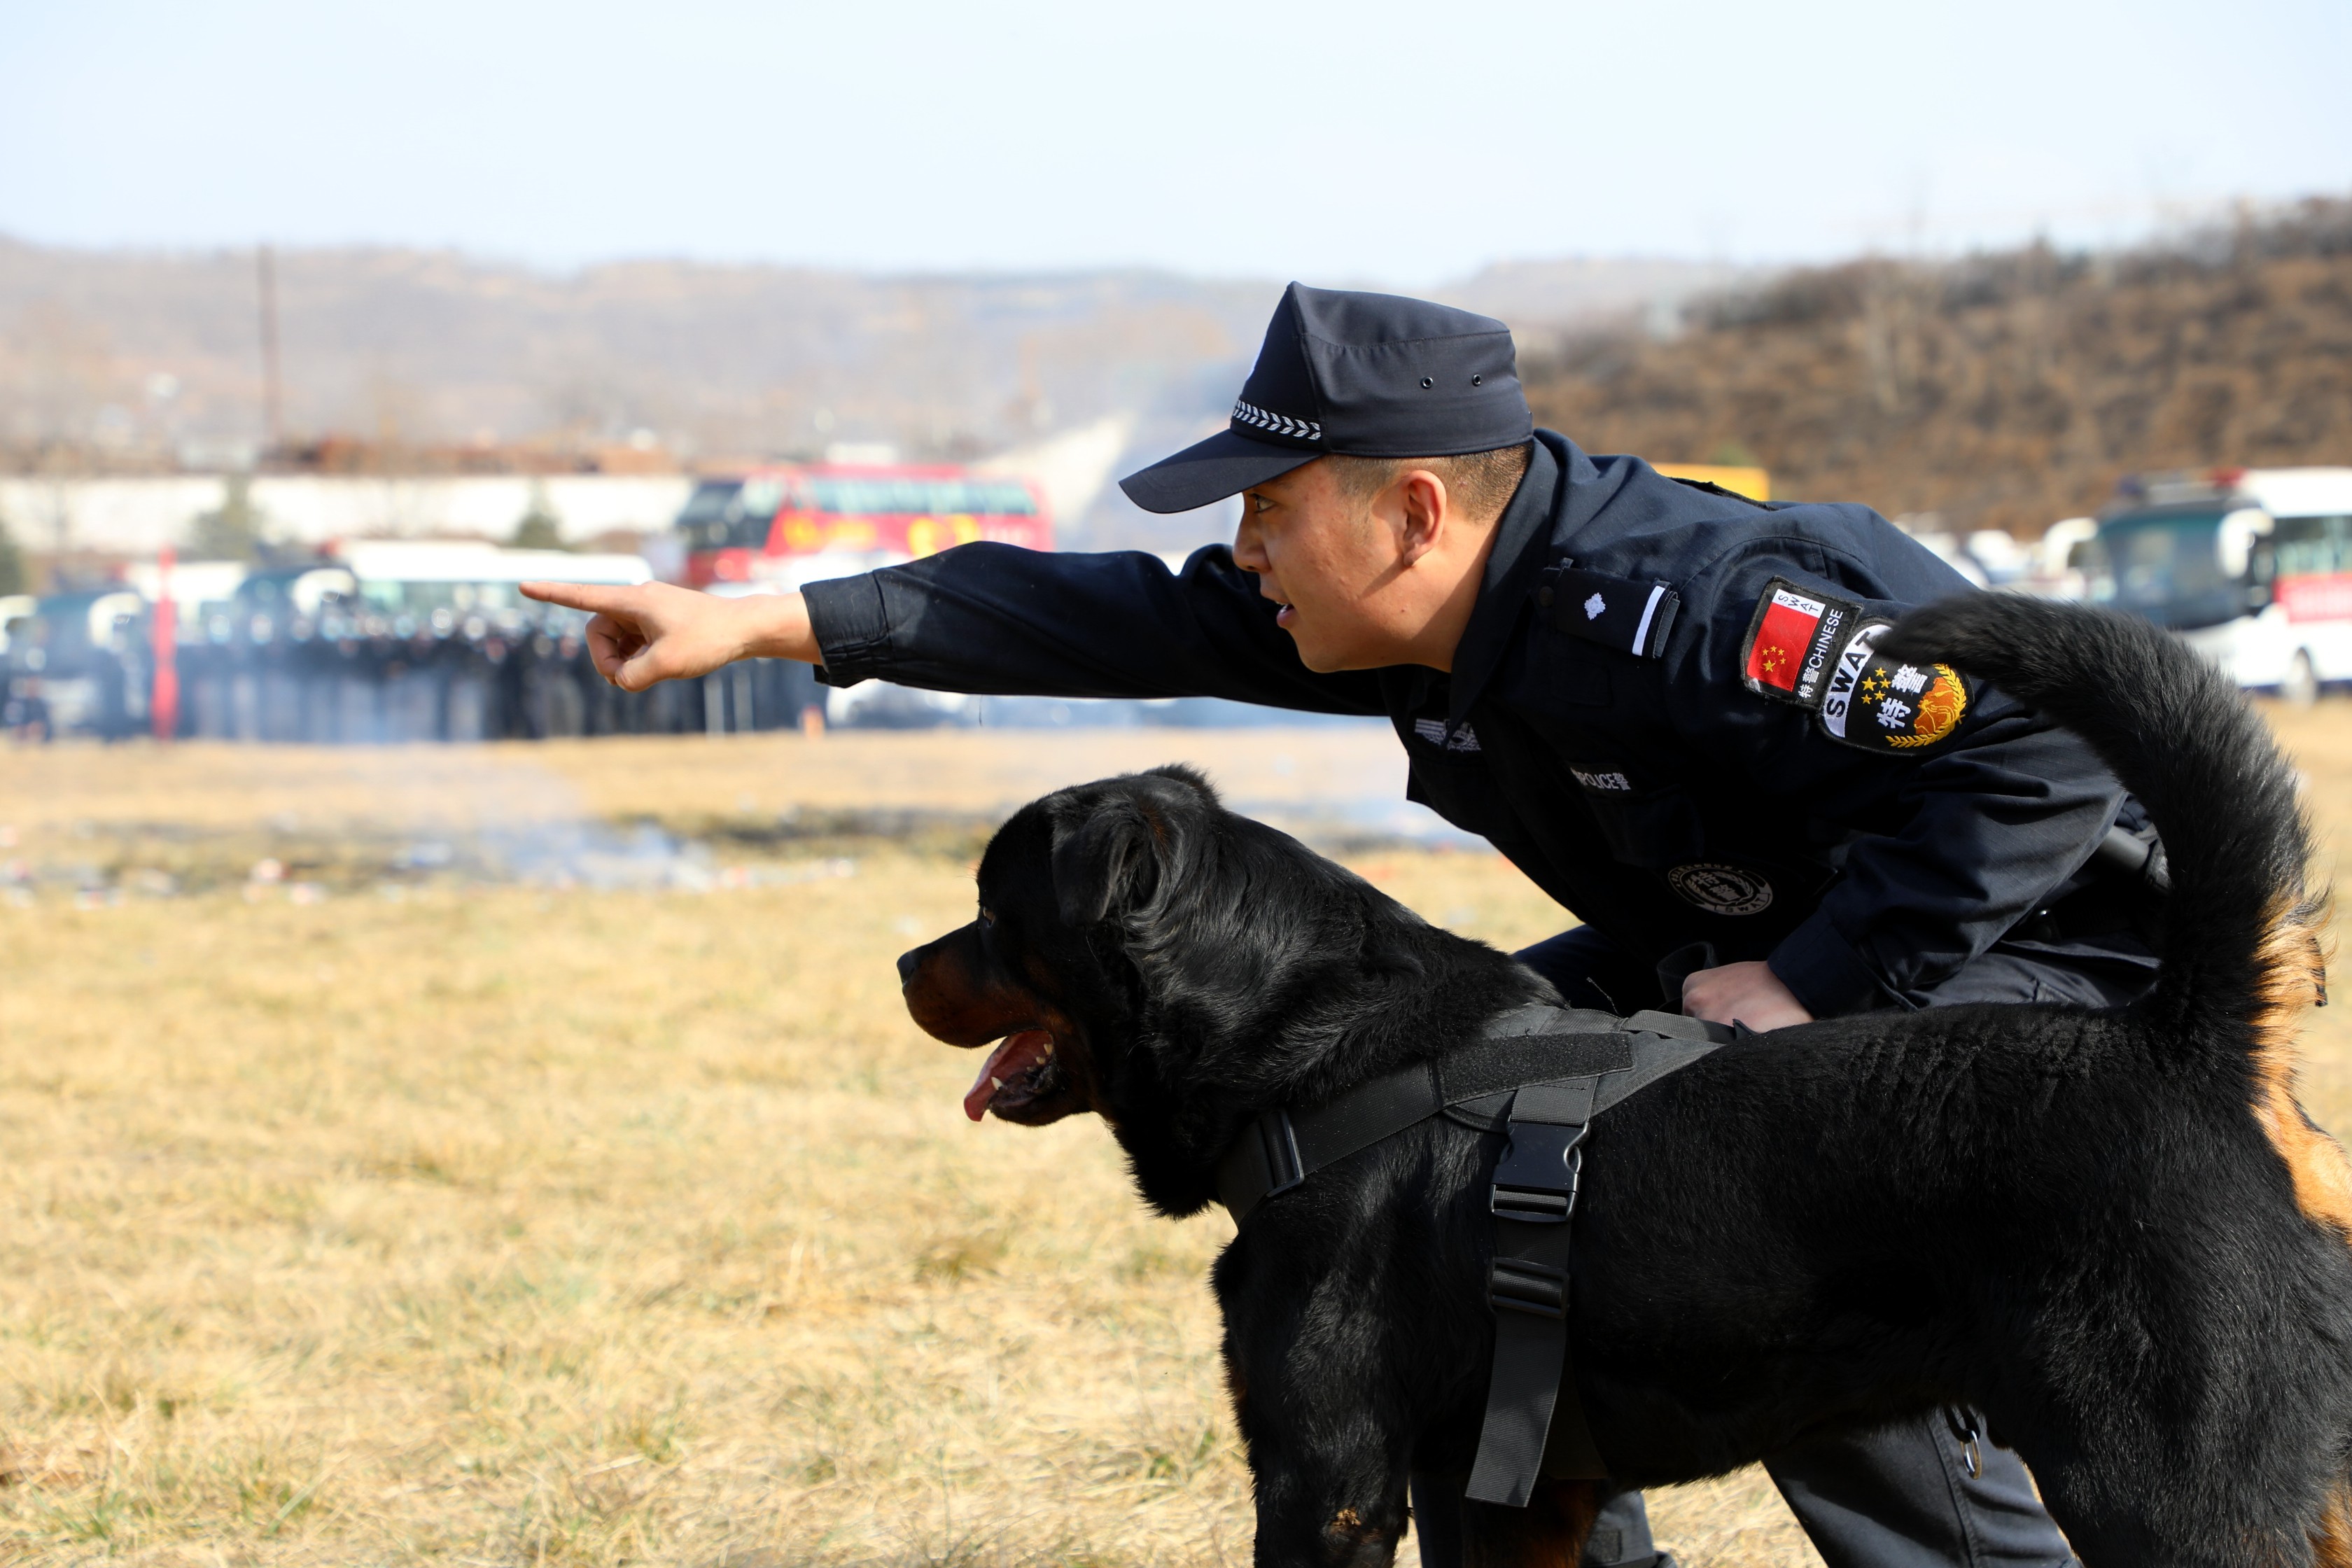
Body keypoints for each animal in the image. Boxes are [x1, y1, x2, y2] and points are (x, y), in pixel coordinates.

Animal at [893, 597, 2352, 1568]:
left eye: (991, 908)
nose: (907, 961)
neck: (1313, 1045)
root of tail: (2188, 1037)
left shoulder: (1329, 1473)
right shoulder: (1504, 1488)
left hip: (2167, 1487)